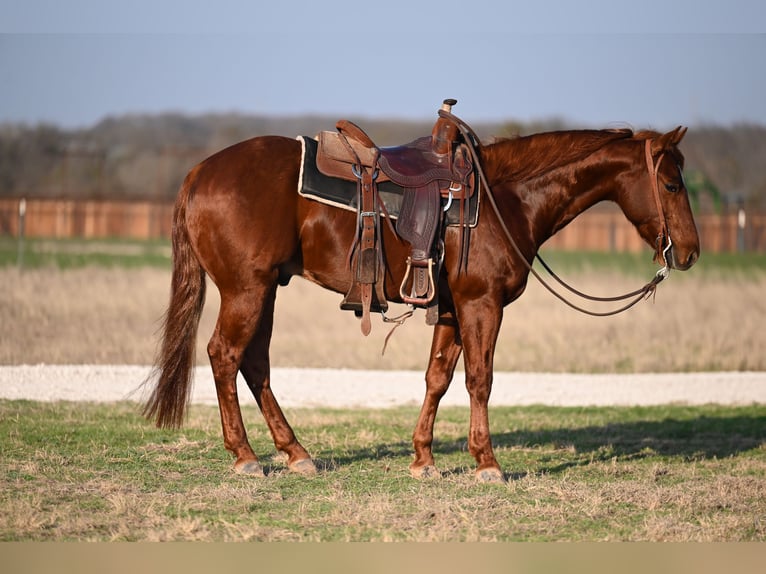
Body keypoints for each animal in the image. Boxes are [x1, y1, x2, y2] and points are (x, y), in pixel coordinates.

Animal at [144, 125, 704, 482]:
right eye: (672, 183)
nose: (691, 252)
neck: (504, 199)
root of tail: (199, 173)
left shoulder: (454, 309)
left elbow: (438, 377)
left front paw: (423, 460)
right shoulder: (483, 305)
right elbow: (480, 379)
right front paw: (486, 463)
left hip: (265, 291)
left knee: (254, 363)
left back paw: (295, 452)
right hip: (247, 290)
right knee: (224, 356)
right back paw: (245, 456)